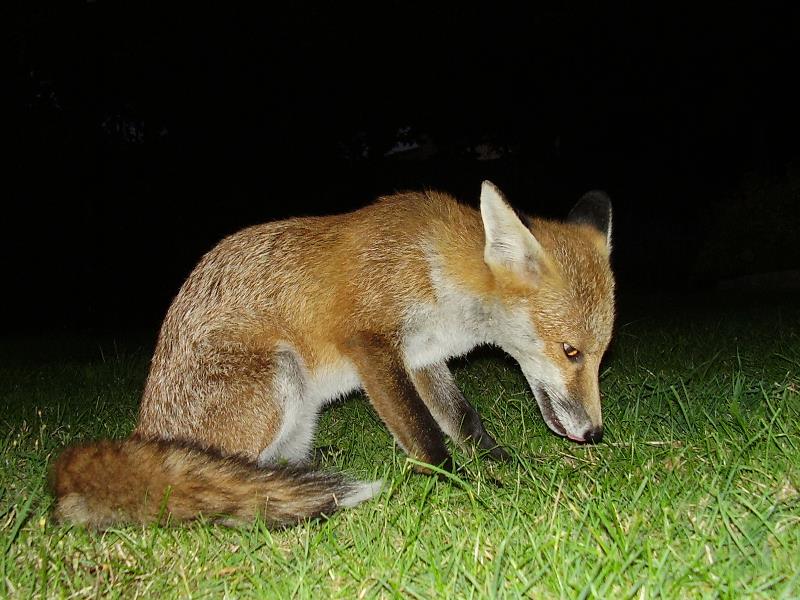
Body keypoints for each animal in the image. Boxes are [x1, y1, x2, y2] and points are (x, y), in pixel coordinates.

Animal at [51, 180, 612, 528]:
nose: (594, 433)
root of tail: (143, 431)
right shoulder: (371, 343)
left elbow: (462, 418)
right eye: (570, 351)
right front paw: (462, 484)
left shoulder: (421, 357)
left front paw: (503, 463)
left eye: (601, 354)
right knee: (221, 474)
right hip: (282, 374)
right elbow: (425, 435)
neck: (436, 266)